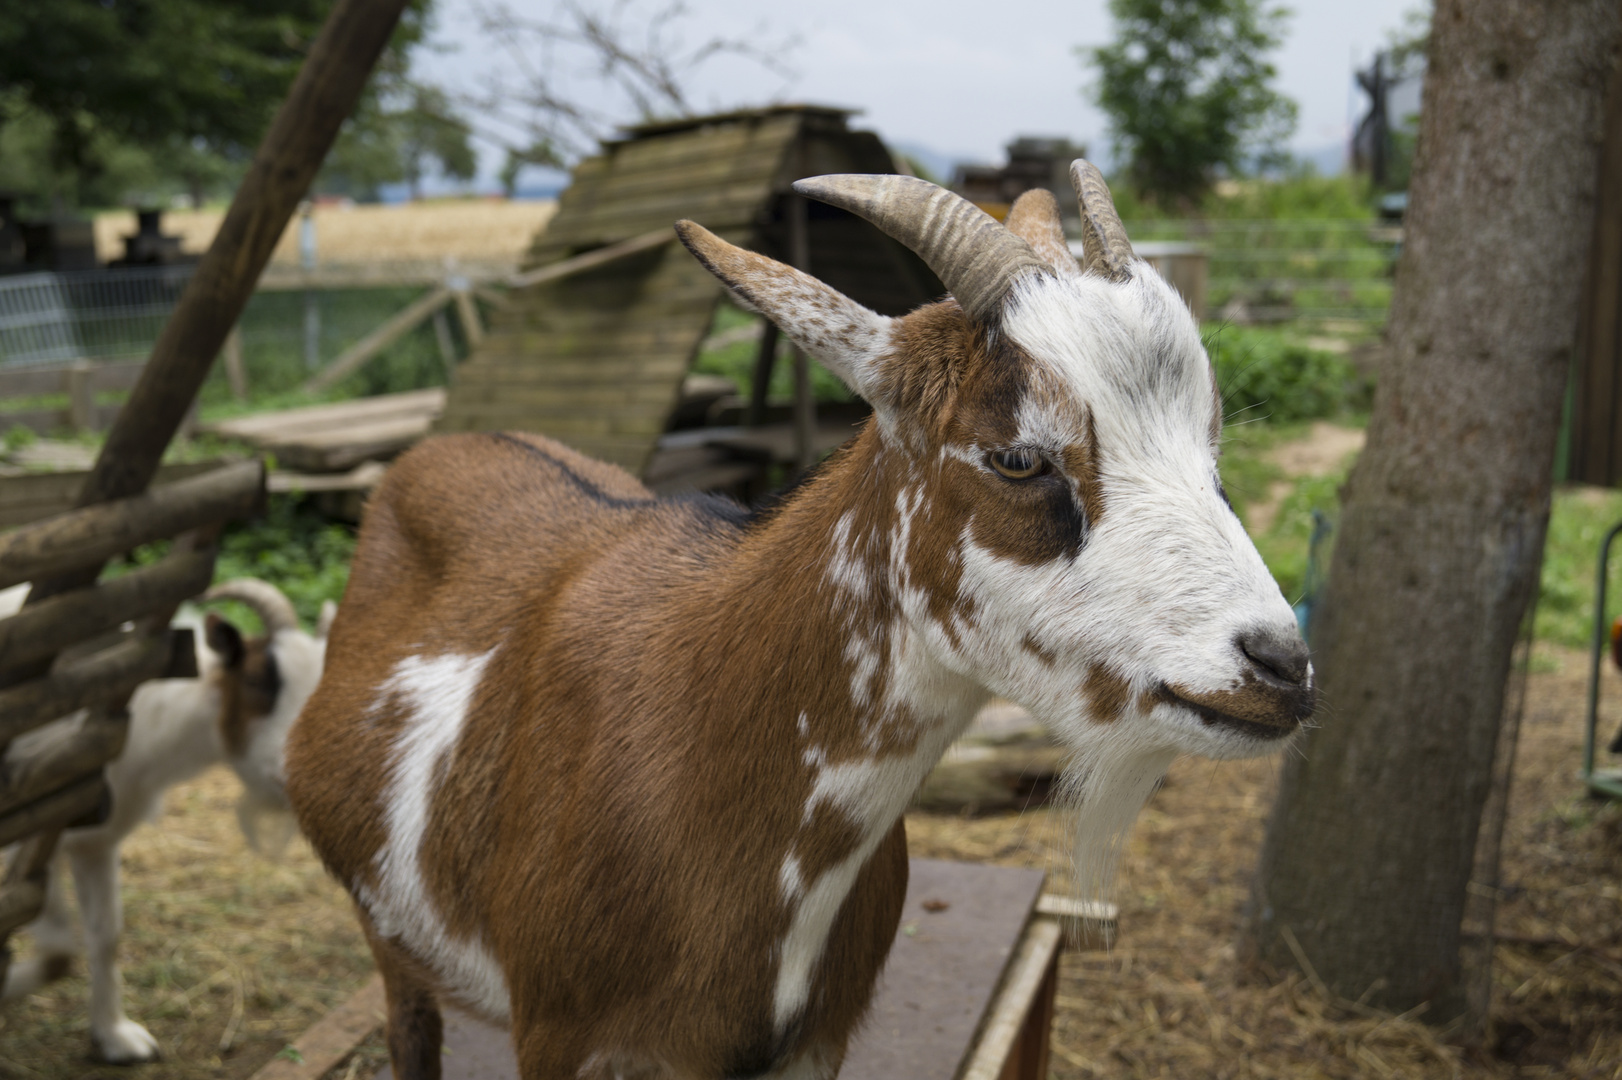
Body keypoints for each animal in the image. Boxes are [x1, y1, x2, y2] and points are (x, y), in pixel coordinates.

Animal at [0, 580, 332, 1057]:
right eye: (253, 680)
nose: (298, 776)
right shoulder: (24, 834)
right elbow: (52, 945)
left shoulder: (95, 840)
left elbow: (102, 937)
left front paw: (115, 1037)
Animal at [285, 163, 1310, 1076]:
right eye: (1017, 457)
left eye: (1212, 440)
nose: (1282, 666)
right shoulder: (560, 1038)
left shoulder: (816, 1044)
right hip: (386, 934)